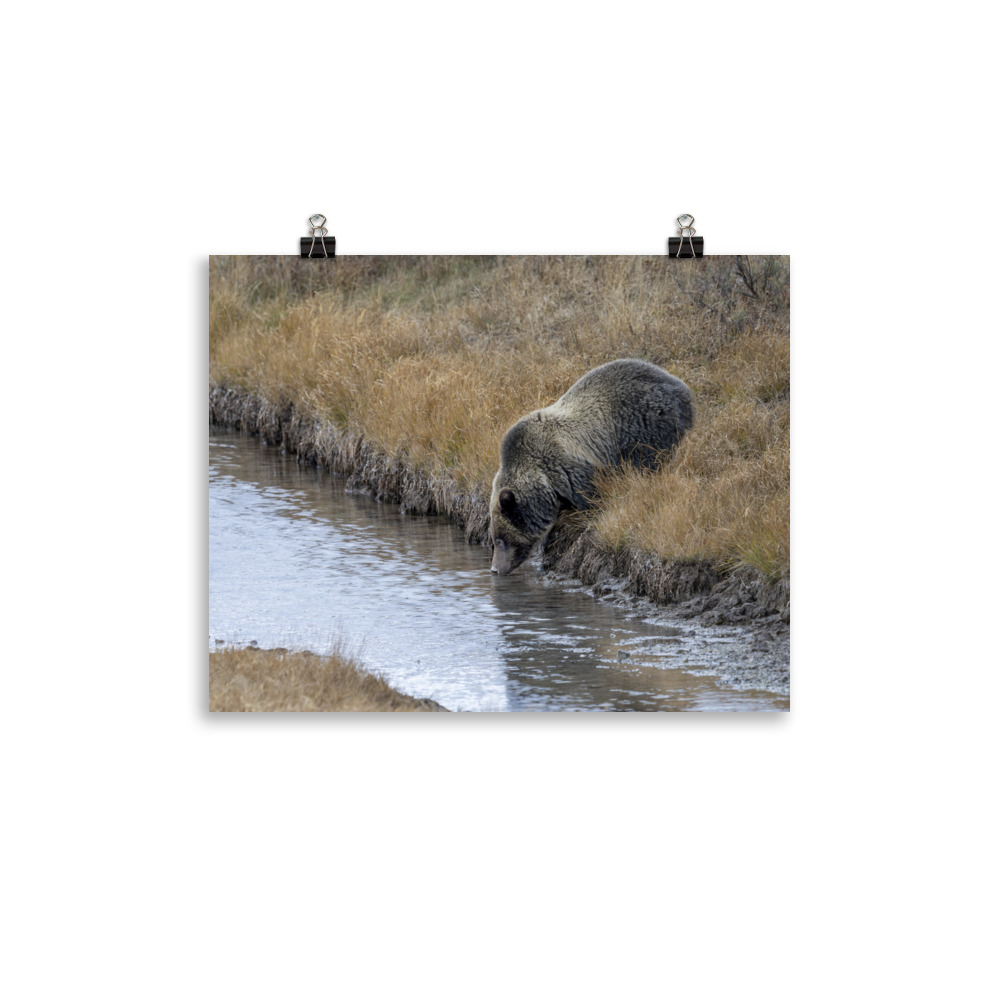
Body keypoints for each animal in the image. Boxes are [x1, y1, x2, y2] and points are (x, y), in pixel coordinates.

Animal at [489, 358, 694, 575]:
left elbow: (590, 500)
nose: (494, 569)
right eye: (494, 539)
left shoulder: (572, 470)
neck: (544, 479)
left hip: (646, 423)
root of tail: (681, 386)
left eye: (500, 540)